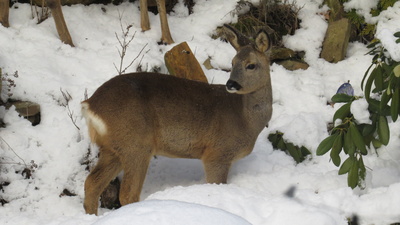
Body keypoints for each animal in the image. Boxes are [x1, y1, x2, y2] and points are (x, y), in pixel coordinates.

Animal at [83, 24, 274, 214]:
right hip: (136, 144)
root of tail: (90, 104)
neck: (245, 119)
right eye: (233, 62)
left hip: (113, 148)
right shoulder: (217, 153)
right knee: (127, 194)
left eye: (251, 65)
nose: (231, 84)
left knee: (92, 183)